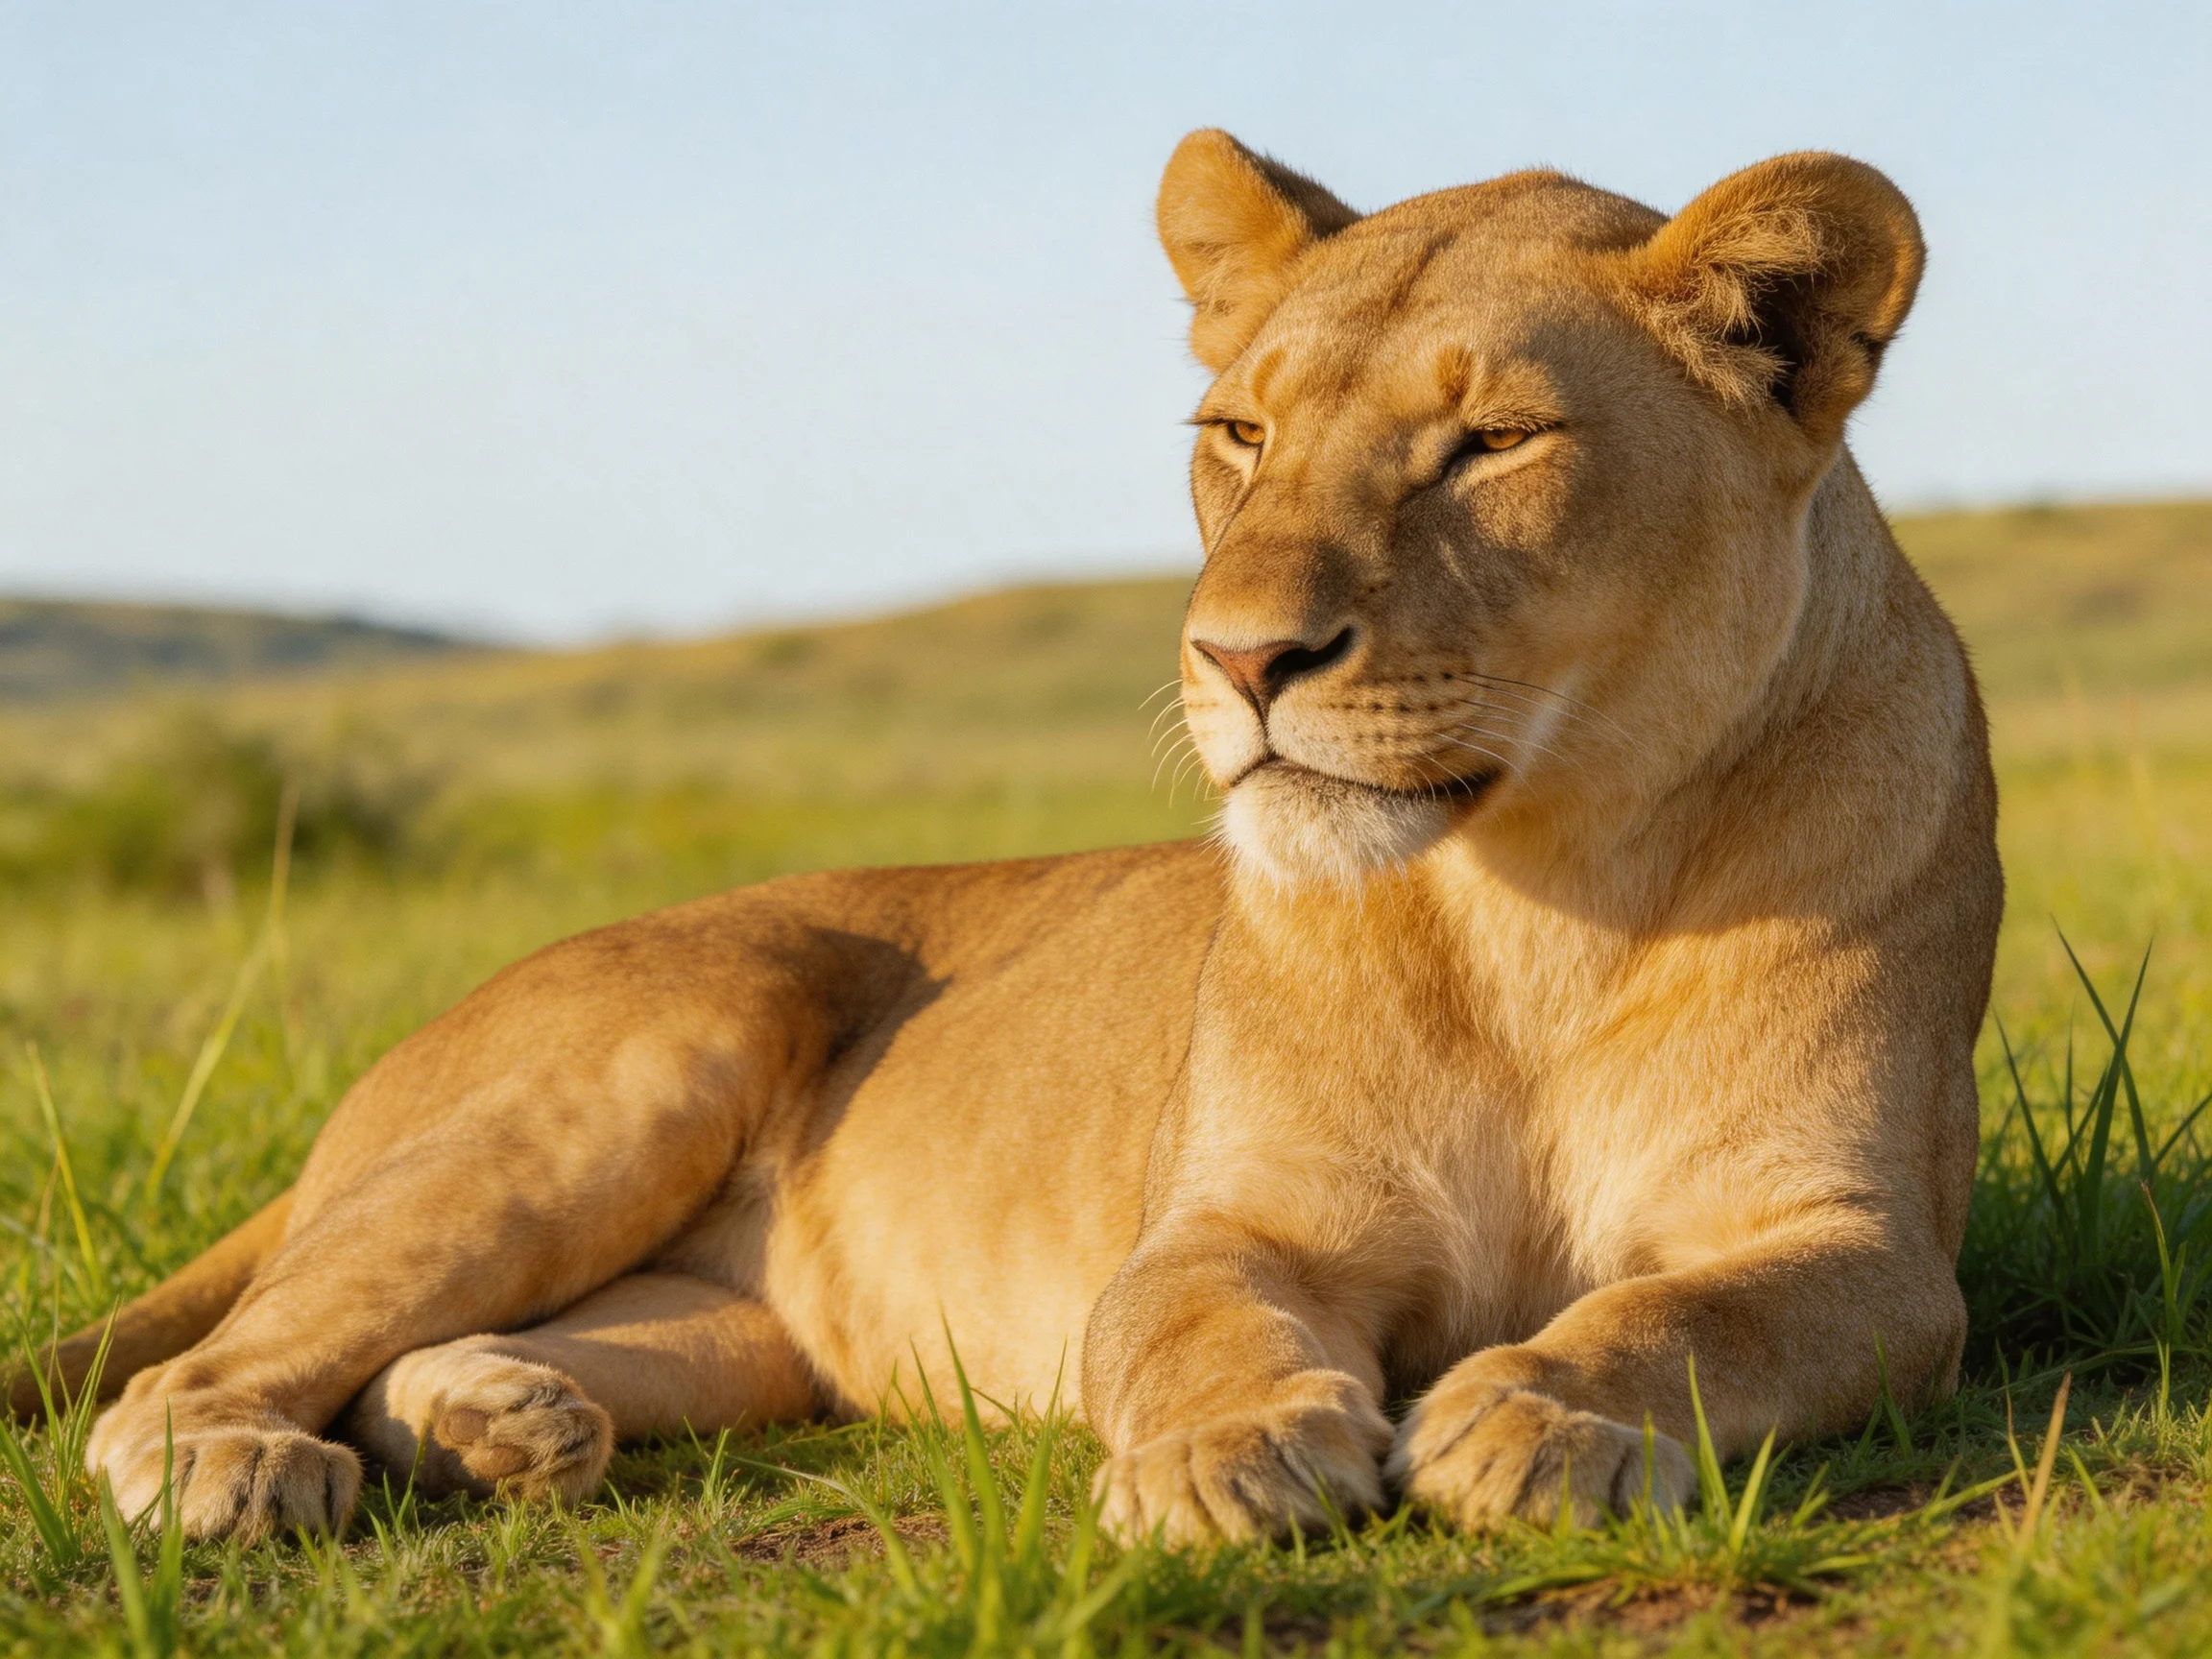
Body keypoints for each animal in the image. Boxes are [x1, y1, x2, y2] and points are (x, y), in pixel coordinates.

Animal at [8, 130, 1999, 1548]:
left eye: (1492, 440)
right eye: (1237, 430)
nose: (1237, 656)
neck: (1537, 891)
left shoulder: (1856, 1240)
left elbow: (1686, 1319)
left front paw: (1540, 1410)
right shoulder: (1228, 1214)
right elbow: (1193, 1323)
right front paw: (1229, 1454)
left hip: (731, 1334)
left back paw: (499, 1421)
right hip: (642, 1054)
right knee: (190, 1366)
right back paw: (235, 1464)